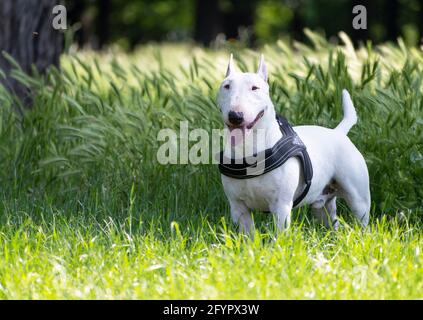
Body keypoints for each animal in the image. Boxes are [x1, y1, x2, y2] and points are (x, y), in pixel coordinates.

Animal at [219, 55, 372, 234]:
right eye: (226, 86)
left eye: (255, 88)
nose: (235, 116)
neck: (249, 149)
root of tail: (338, 132)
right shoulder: (238, 208)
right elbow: (248, 235)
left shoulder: (281, 206)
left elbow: (279, 233)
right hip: (323, 206)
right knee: (332, 222)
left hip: (358, 199)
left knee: (361, 217)